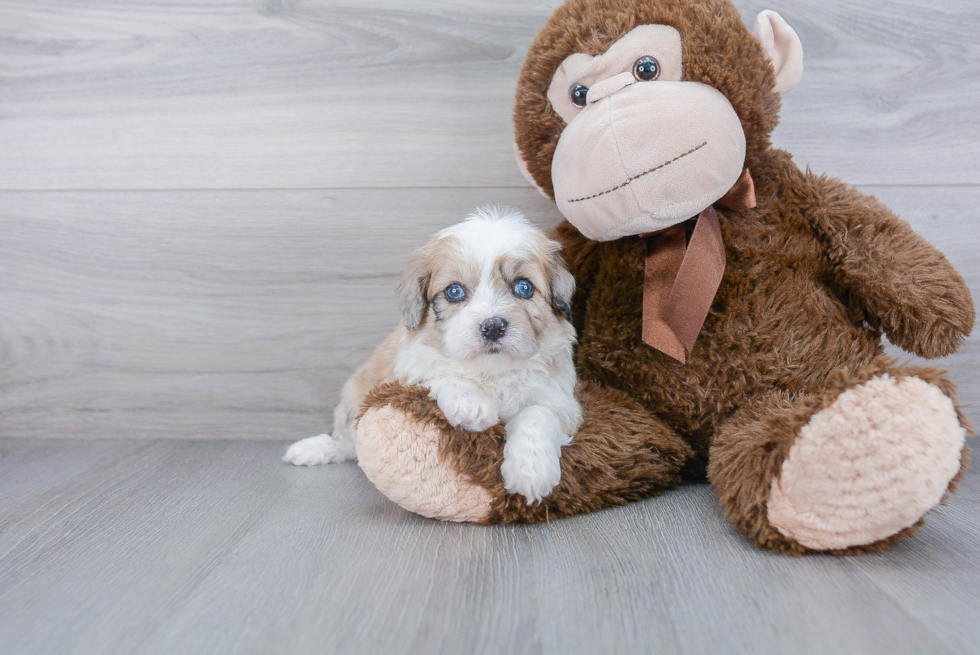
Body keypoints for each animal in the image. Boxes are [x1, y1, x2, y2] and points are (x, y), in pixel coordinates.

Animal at [282, 208, 580, 504]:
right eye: (454, 291)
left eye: (523, 287)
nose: (493, 327)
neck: (490, 371)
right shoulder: (409, 369)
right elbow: (438, 373)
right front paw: (471, 404)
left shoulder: (559, 399)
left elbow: (537, 415)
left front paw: (532, 472)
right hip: (353, 396)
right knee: (346, 441)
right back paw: (314, 449)